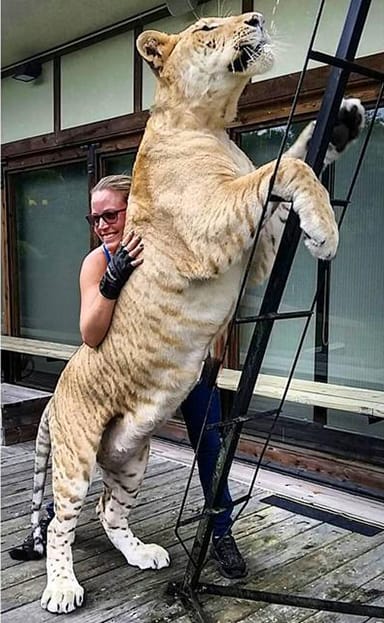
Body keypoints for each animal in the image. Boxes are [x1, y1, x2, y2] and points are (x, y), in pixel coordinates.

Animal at [28, 9, 364, 616]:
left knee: (107, 510)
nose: (256, 16)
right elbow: (281, 170)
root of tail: (56, 394)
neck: (212, 124)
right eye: (208, 25)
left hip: (131, 455)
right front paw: (325, 232)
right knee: (62, 523)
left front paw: (342, 125)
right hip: (77, 455)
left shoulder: (254, 252)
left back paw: (142, 554)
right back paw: (62, 589)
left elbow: (293, 158)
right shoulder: (212, 227)